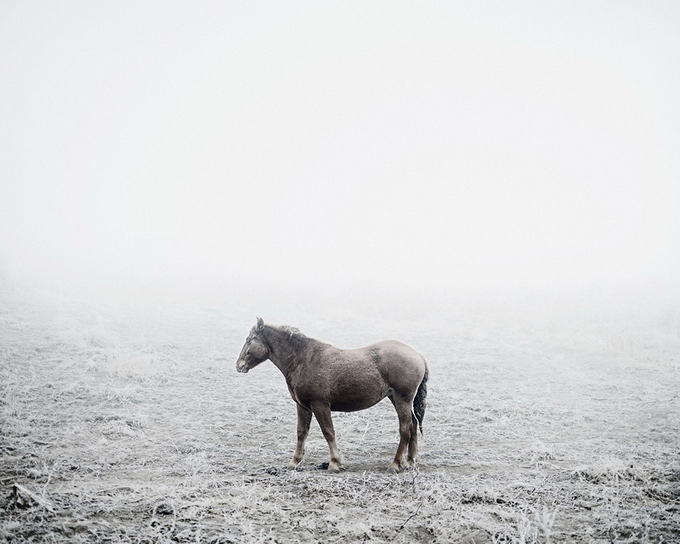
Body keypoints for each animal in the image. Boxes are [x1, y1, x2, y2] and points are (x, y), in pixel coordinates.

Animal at [235, 318, 424, 472]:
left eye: (249, 340)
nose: (239, 365)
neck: (304, 360)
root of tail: (418, 355)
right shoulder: (302, 406)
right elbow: (301, 432)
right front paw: (294, 462)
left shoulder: (320, 406)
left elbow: (328, 432)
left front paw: (334, 462)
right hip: (396, 398)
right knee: (413, 425)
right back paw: (410, 460)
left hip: (402, 399)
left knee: (405, 428)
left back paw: (395, 464)